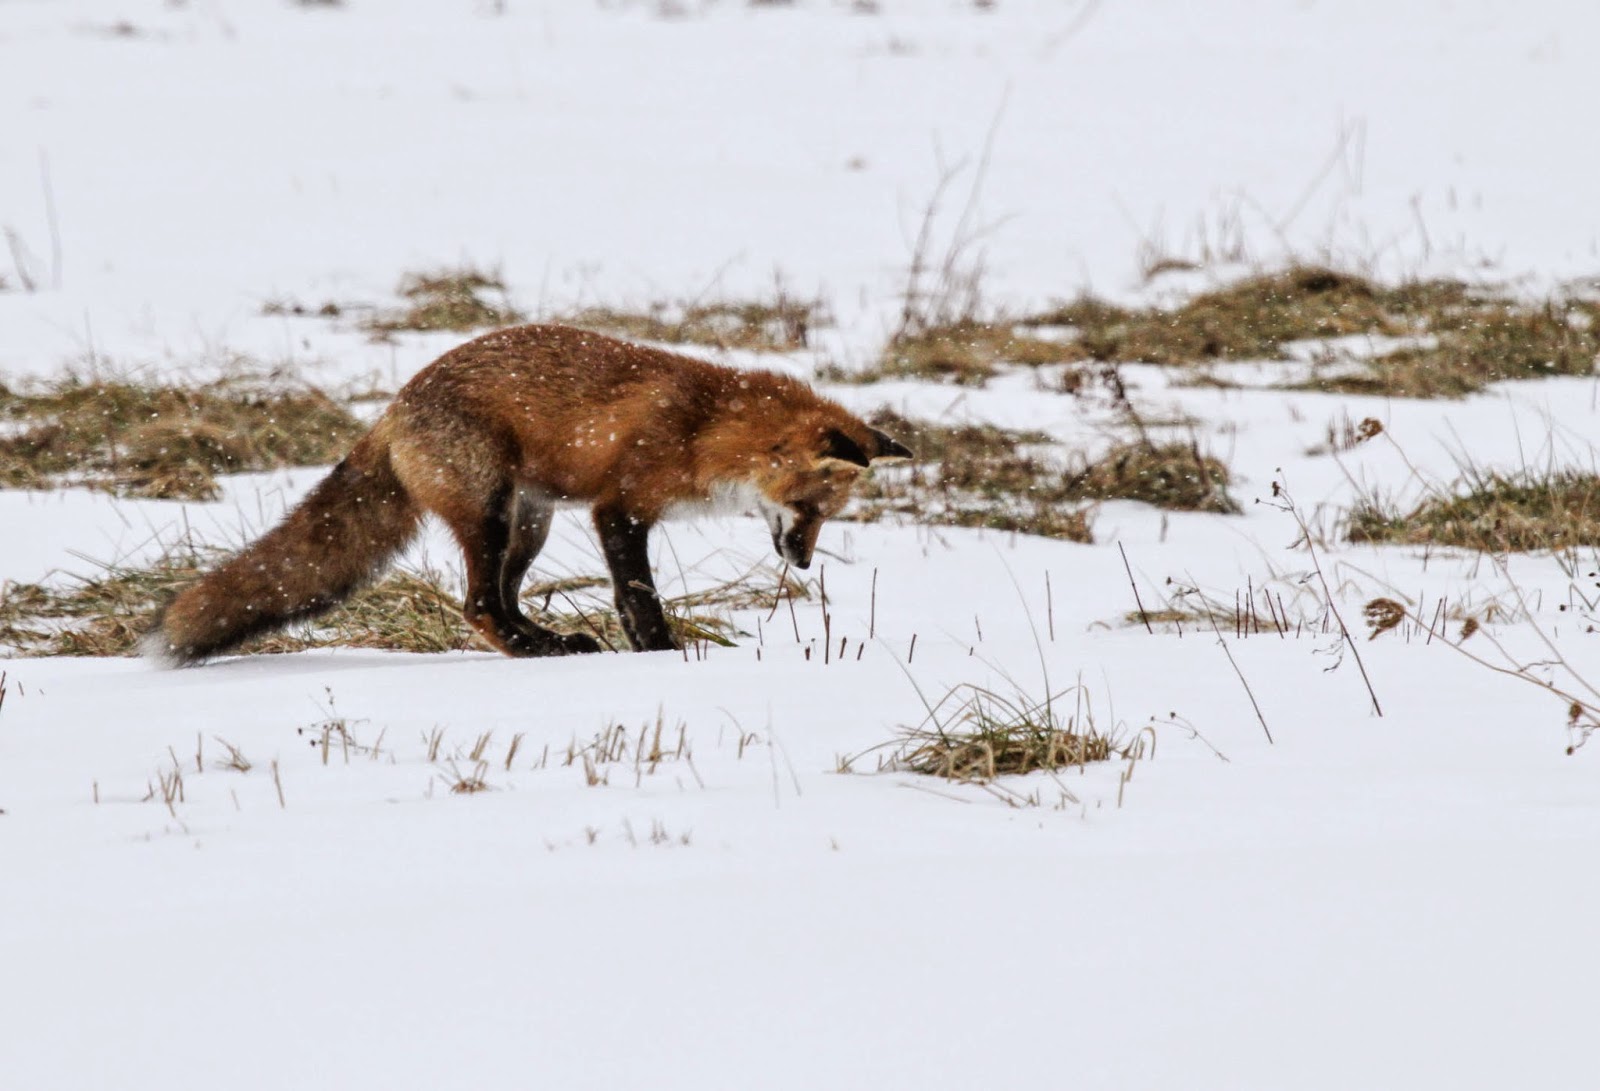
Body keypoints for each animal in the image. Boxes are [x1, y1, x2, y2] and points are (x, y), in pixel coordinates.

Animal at [144, 323, 911, 665]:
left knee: (502, 599)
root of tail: (394, 406)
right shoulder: (620, 506)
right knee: (479, 606)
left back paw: (551, 641)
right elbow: (638, 595)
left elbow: (630, 598)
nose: (803, 562)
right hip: (487, 512)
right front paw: (663, 656)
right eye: (812, 510)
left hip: (529, 524)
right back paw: (536, 650)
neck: (708, 426)